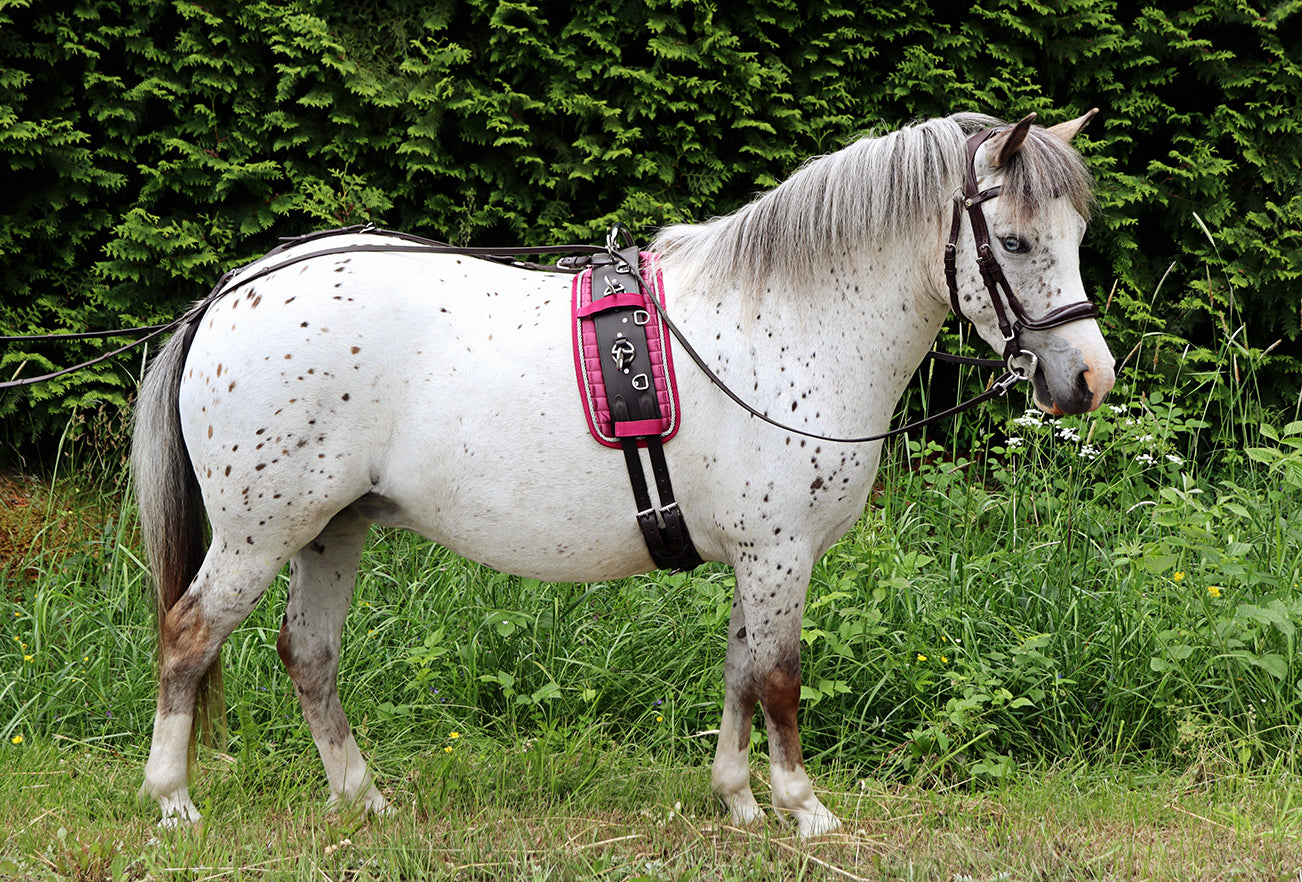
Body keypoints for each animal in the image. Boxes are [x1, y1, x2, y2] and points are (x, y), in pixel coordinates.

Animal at [132, 110, 1114, 833]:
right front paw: (805, 810)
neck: (785, 323)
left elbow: (740, 672)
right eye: (1015, 243)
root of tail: (229, 294)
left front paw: (740, 801)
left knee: (309, 654)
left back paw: (362, 798)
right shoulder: (781, 555)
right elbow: (780, 678)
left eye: (1077, 233)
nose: (1088, 379)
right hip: (261, 532)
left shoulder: (756, 559)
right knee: (188, 636)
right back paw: (173, 803)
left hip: (330, 531)